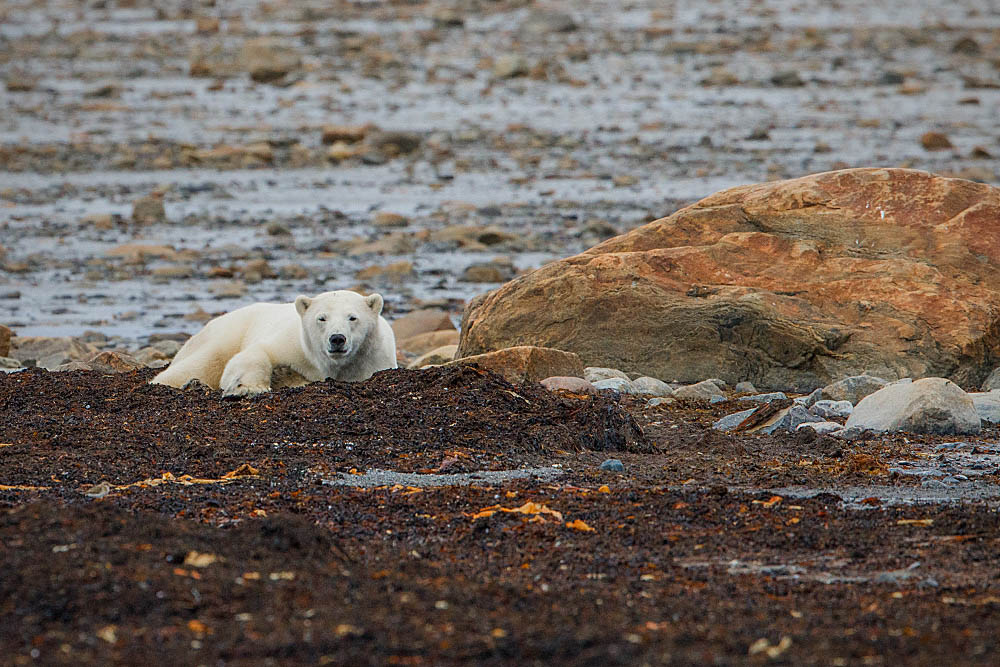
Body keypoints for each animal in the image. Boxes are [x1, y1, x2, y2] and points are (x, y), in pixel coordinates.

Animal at [150, 290, 396, 396]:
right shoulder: (295, 344)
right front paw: (245, 387)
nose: (337, 338)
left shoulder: (374, 362)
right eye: (322, 318)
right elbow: (260, 352)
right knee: (204, 361)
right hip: (228, 332)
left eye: (352, 317)